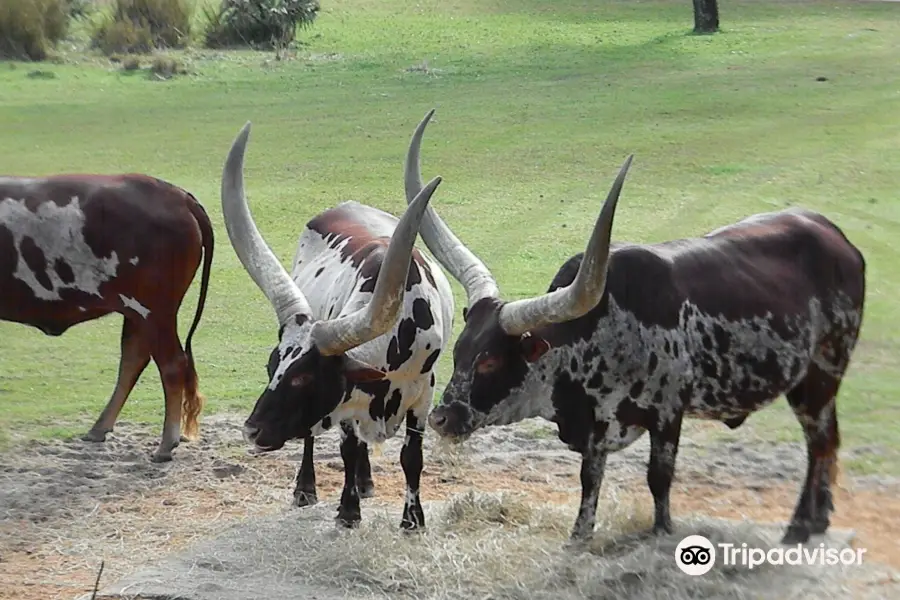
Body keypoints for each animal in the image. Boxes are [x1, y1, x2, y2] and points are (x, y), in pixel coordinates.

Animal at [0, 171, 214, 462]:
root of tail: (176, 194)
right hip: (137, 313)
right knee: (134, 359)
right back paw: (100, 428)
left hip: (154, 311)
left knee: (171, 365)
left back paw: (166, 443)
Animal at [221, 122, 454, 528]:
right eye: (271, 365)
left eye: (303, 377)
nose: (252, 430)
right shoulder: (347, 401)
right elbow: (347, 448)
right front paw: (348, 511)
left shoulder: (424, 394)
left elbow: (412, 458)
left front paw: (412, 520)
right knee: (315, 438)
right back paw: (308, 488)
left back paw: (366, 482)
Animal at [406, 110, 864, 548]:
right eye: (459, 352)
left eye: (490, 361)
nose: (442, 418)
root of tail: (837, 237)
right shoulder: (596, 428)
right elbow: (589, 479)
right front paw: (579, 538)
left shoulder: (668, 413)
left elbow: (658, 479)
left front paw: (662, 532)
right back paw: (818, 521)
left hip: (821, 376)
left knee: (821, 444)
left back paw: (801, 527)